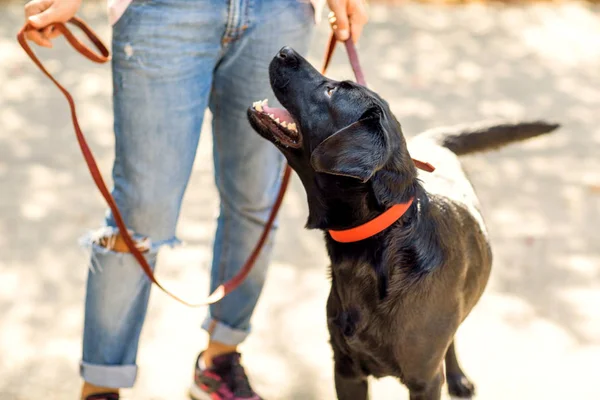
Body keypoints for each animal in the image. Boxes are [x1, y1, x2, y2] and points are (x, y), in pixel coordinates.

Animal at [246, 45, 556, 398]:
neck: (381, 243)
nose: (285, 51)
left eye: (331, 90)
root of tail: (431, 142)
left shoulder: (424, 381)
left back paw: (457, 376)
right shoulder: (346, 368)